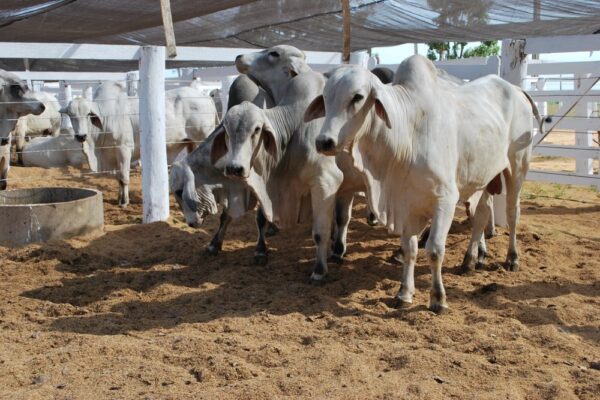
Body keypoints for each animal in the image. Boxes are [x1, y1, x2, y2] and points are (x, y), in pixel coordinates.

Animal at [304, 55, 540, 312]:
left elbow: (434, 250)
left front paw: (438, 298)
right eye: (326, 96)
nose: (324, 142)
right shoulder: (405, 202)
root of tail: (516, 89)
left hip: (518, 166)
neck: (407, 132)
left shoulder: (445, 200)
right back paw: (469, 260)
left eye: (357, 97)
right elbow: (410, 249)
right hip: (483, 178)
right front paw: (404, 293)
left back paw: (512, 258)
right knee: (481, 215)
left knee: (512, 213)